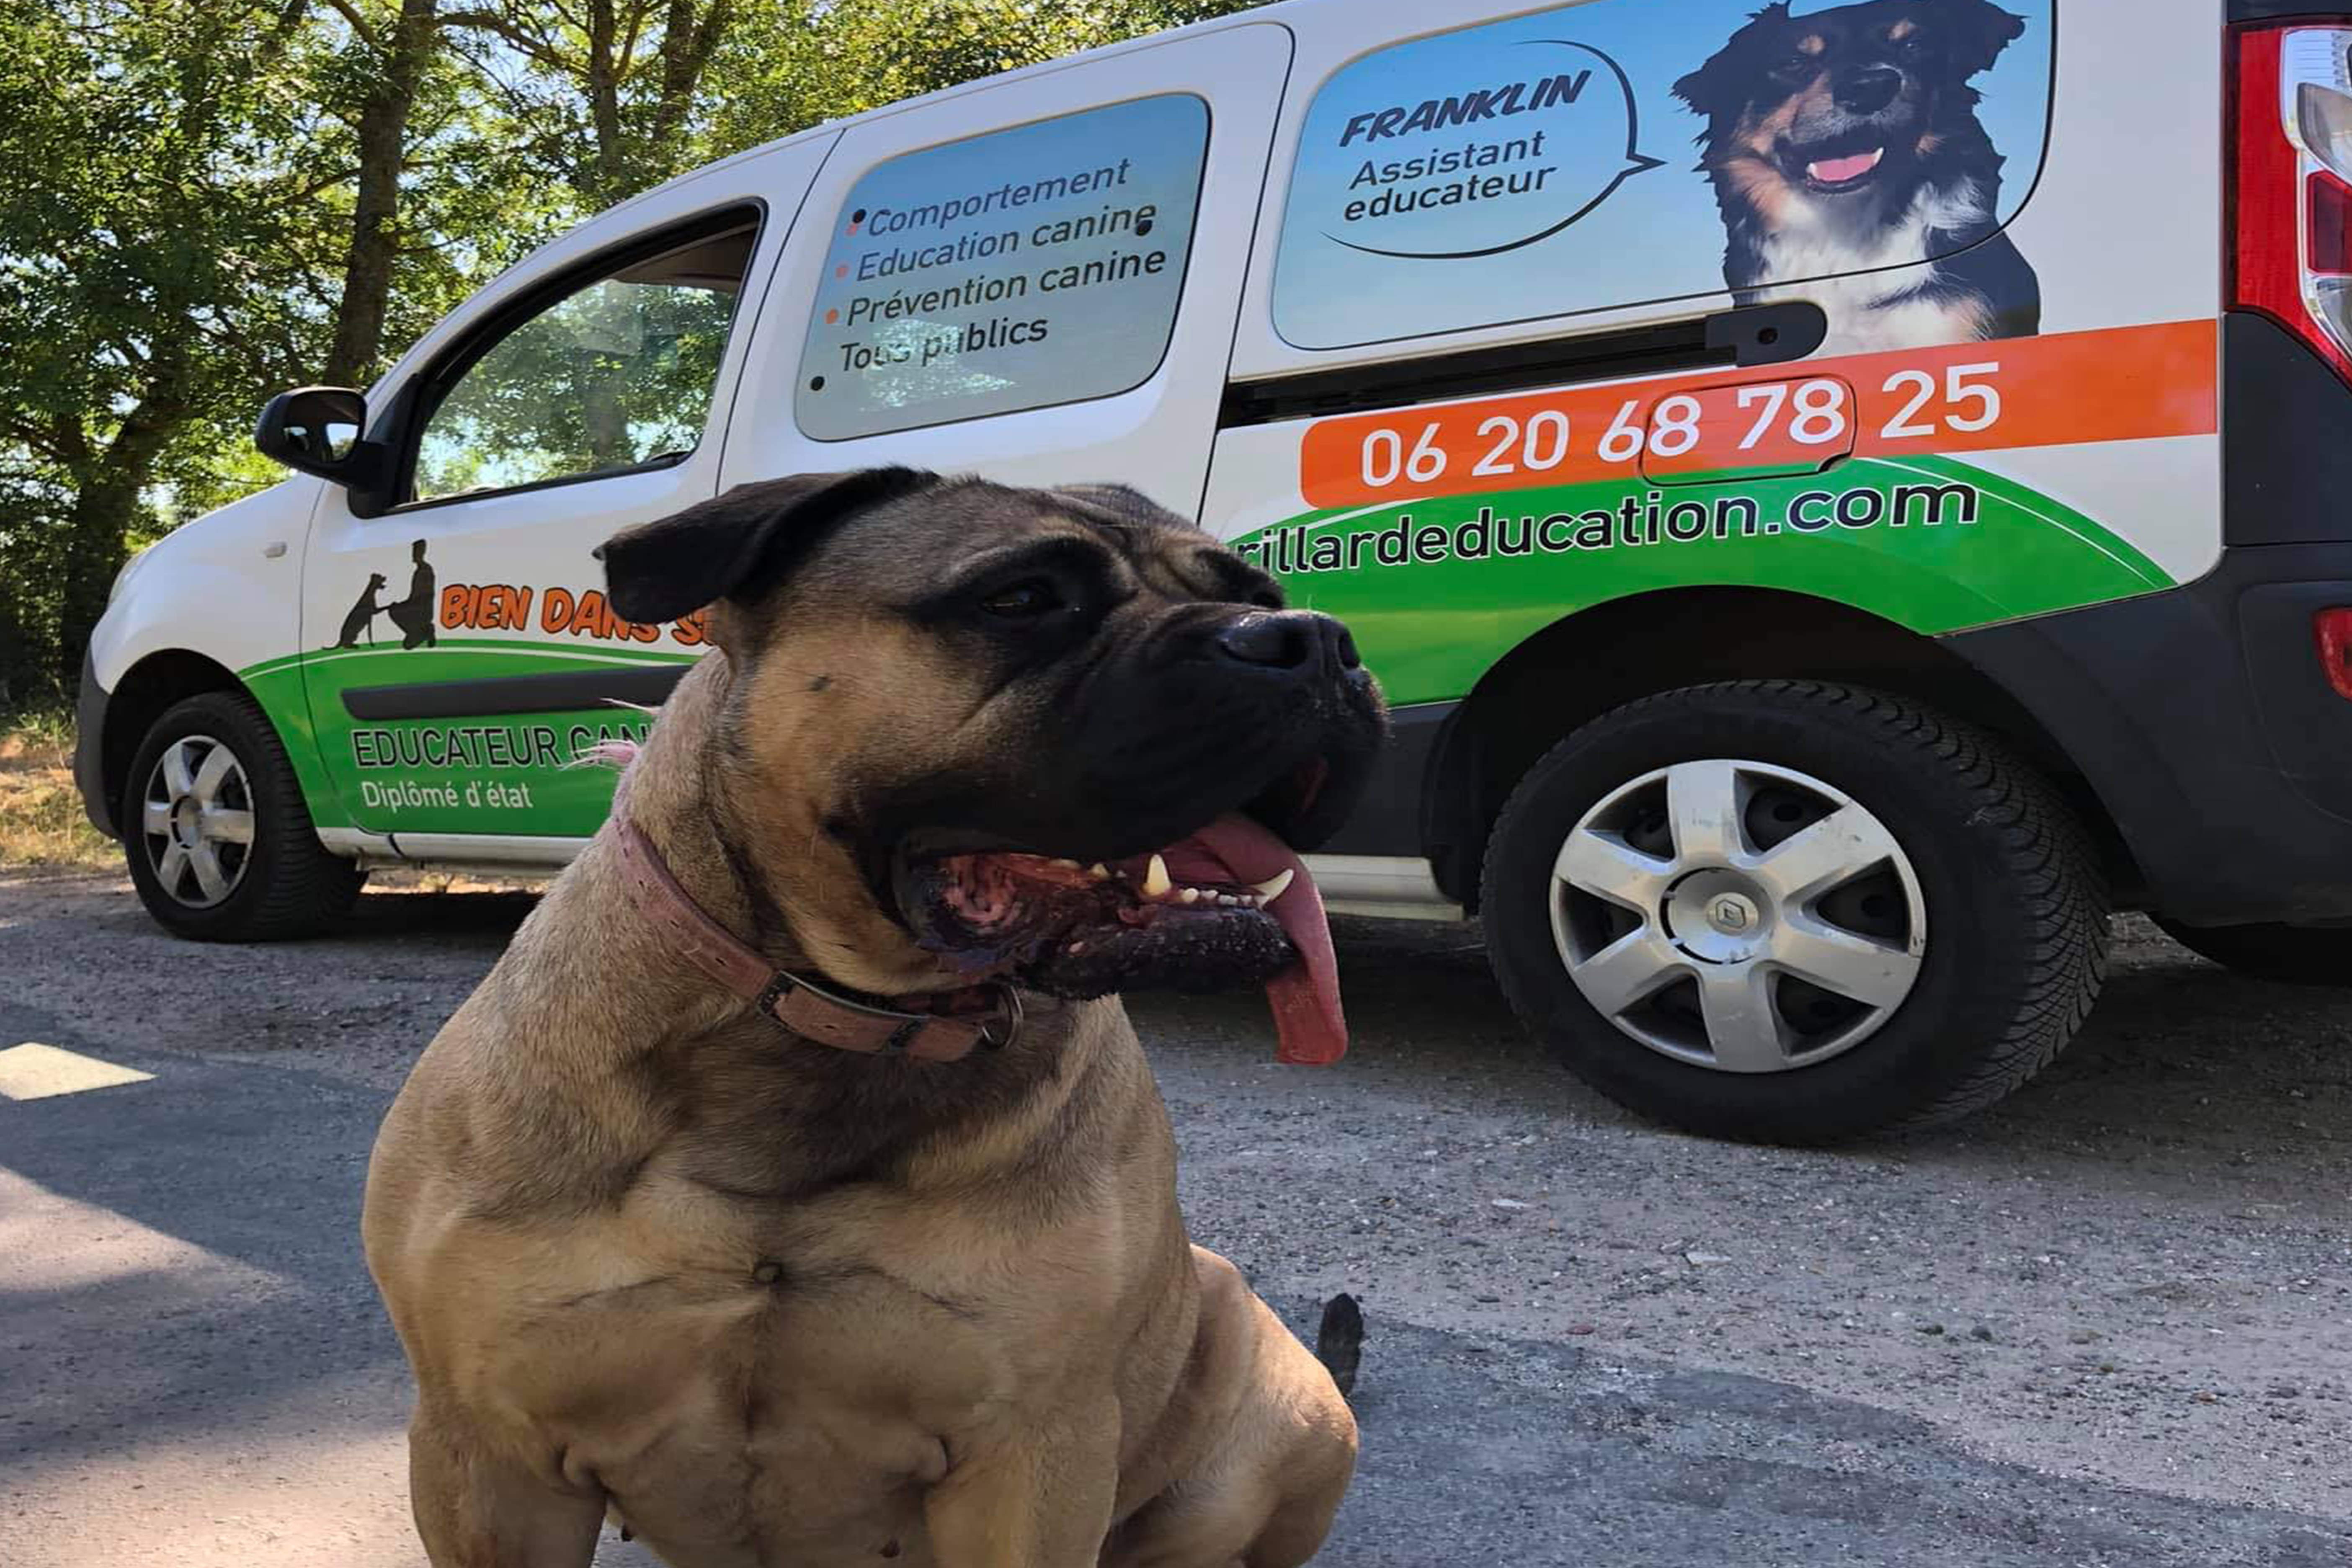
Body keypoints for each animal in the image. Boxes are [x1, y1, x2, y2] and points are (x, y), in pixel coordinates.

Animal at [360, 472, 1383, 1568]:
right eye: (1023, 598)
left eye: (1262, 592)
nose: (1315, 639)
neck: (833, 1018)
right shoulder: (486, 1453)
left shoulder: (1035, 1456)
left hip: (1285, 1408)